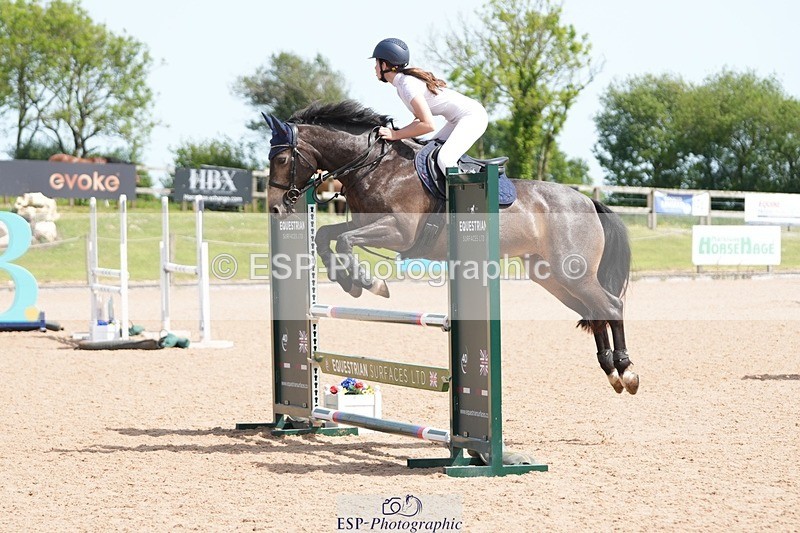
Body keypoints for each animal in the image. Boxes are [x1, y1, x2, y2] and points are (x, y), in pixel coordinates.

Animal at [265, 100, 638, 395]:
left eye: (281, 158)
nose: (275, 209)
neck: (376, 166)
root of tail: (586, 200)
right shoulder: (364, 224)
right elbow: (326, 236)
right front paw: (348, 282)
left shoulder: (399, 232)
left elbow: (343, 240)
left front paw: (370, 283)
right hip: (552, 277)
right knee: (596, 311)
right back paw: (611, 372)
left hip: (572, 272)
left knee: (611, 305)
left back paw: (626, 370)